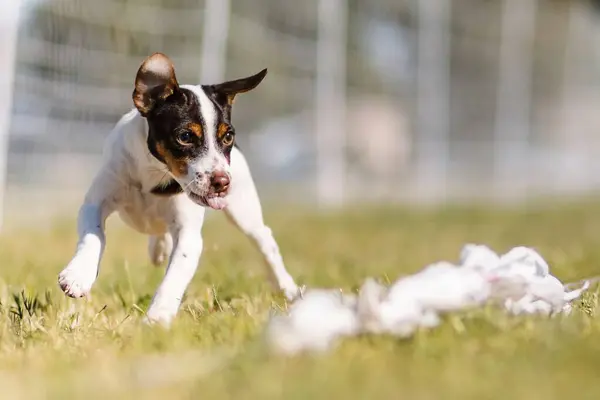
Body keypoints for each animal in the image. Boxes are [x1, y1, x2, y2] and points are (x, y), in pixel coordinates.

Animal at [57, 52, 298, 324]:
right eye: (185, 137)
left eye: (227, 137)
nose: (222, 182)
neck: (155, 173)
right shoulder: (96, 202)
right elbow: (95, 235)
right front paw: (79, 275)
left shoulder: (188, 235)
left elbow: (174, 277)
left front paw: (158, 316)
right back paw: (158, 248)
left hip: (244, 212)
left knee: (265, 240)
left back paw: (287, 287)